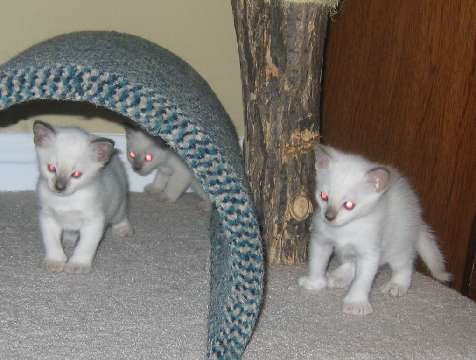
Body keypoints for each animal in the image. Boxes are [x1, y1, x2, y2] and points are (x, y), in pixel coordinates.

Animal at [33, 120, 132, 272]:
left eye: (76, 174)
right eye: (51, 168)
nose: (59, 187)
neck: (66, 201)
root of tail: (114, 157)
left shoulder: (94, 221)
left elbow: (85, 246)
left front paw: (78, 264)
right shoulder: (47, 217)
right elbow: (52, 242)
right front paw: (55, 261)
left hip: (117, 206)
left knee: (121, 216)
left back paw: (123, 229)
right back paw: (67, 239)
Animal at [298, 146, 450, 316]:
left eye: (349, 205)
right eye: (324, 196)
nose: (329, 216)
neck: (345, 229)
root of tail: (417, 217)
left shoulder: (370, 251)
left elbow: (363, 279)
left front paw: (356, 304)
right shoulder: (321, 240)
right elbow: (317, 262)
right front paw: (314, 283)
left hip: (400, 242)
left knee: (405, 264)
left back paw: (397, 285)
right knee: (351, 261)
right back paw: (339, 277)